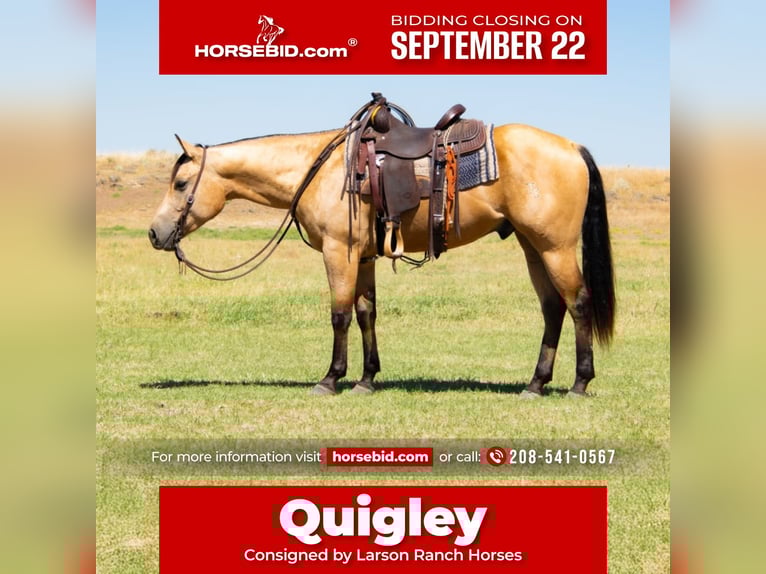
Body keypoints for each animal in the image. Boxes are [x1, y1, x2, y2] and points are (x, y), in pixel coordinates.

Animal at [148, 101, 615, 398]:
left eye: (181, 184)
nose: (155, 233)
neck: (319, 169)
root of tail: (572, 147)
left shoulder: (338, 252)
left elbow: (339, 314)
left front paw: (330, 379)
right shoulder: (364, 255)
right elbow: (366, 312)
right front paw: (366, 379)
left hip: (554, 247)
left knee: (578, 302)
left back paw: (579, 383)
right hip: (532, 246)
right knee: (553, 308)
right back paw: (535, 384)